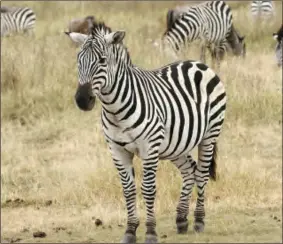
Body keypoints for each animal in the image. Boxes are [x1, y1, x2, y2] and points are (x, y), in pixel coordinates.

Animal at [72, 21, 227, 244]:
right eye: (78, 60)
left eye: (102, 60)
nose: (82, 100)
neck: (115, 110)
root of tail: (198, 64)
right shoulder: (117, 150)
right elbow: (128, 190)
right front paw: (130, 231)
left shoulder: (149, 148)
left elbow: (148, 189)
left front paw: (151, 232)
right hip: (176, 144)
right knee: (189, 170)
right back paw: (181, 220)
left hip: (210, 134)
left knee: (202, 172)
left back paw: (198, 220)